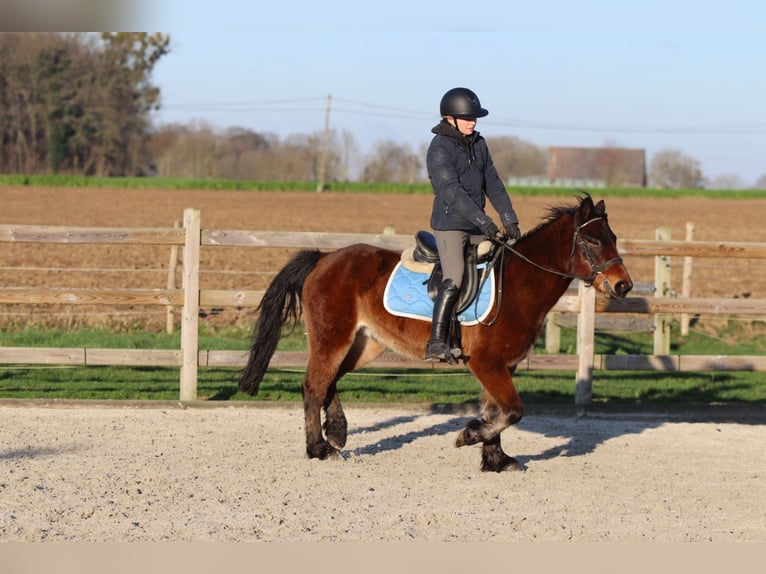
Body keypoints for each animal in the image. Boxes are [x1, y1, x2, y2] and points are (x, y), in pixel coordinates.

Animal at [238, 193, 633, 472]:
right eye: (593, 240)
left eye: (613, 237)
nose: (623, 286)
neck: (518, 286)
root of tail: (324, 258)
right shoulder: (486, 363)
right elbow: (510, 411)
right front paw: (469, 436)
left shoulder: (502, 365)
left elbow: (498, 411)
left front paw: (495, 460)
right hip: (333, 337)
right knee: (313, 385)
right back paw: (318, 448)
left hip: (364, 344)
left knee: (329, 381)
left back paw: (337, 432)